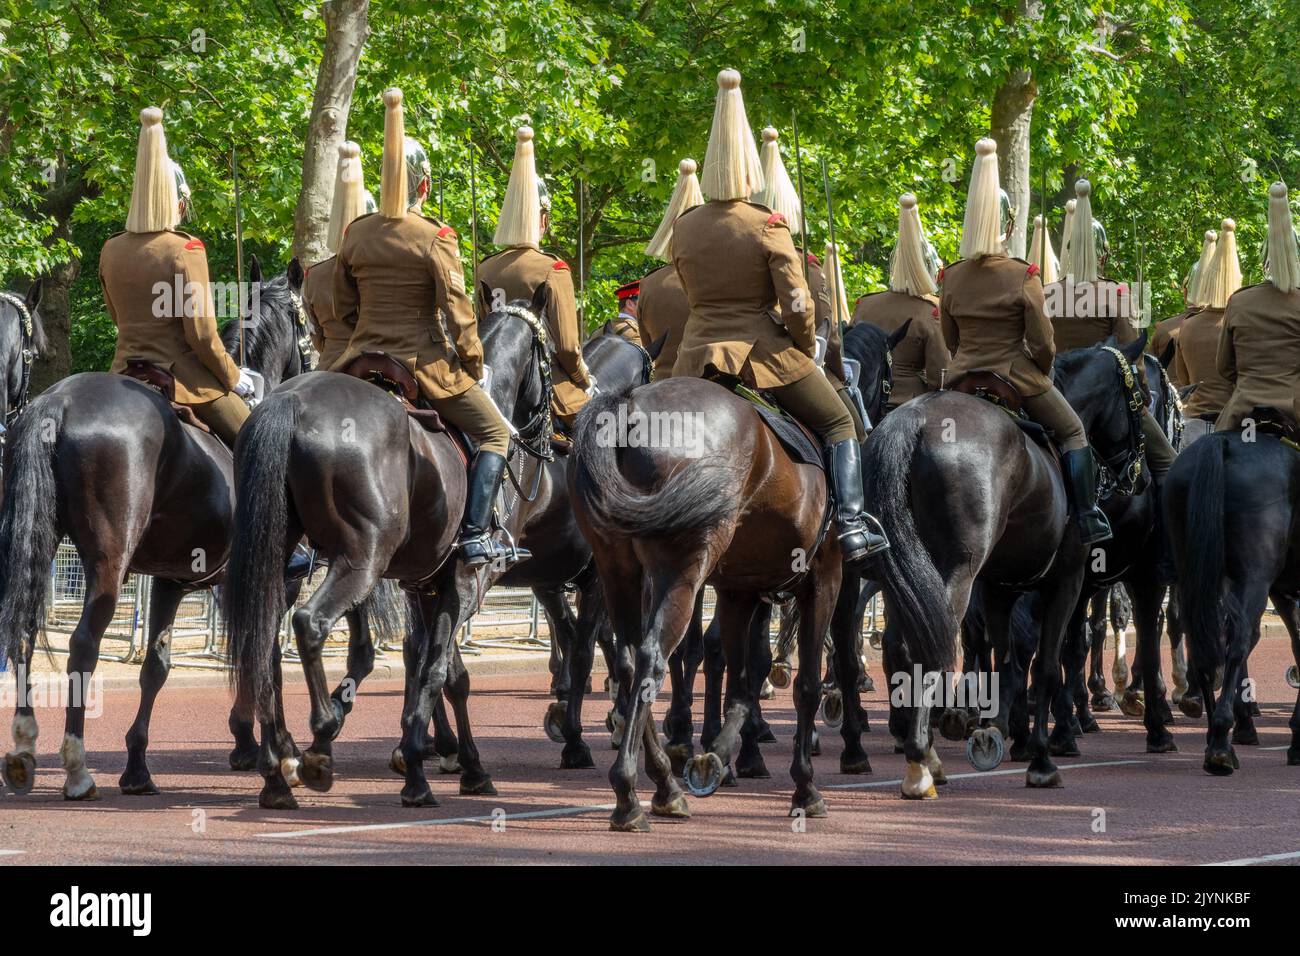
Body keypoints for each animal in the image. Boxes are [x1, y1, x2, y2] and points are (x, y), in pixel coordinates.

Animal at [0, 256, 312, 801]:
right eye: (307, 323)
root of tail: (55, 404)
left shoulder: (172, 579)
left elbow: (157, 667)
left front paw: (139, 764)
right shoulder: (269, 577)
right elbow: (263, 654)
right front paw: (275, 748)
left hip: (33, 545)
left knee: (22, 629)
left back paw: (24, 751)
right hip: (106, 563)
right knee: (83, 644)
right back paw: (76, 767)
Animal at [572, 374, 842, 832]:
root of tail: (629, 404)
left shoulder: (739, 590)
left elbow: (742, 676)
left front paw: (722, 752)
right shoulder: (825, 580)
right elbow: (803, 685)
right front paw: (804, 788)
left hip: (617, 568)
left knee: (628, 660)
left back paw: (665, 786)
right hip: (681, 569)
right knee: (652, 658)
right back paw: (629, 795)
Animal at [1170, 429, 1300, 775]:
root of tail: (1223, 441)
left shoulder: (1284, 594)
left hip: (1193, 575)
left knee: (1203, 641)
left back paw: (1214, 736)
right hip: (1252, 578)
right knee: (1238, 641)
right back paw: (1220, 745)